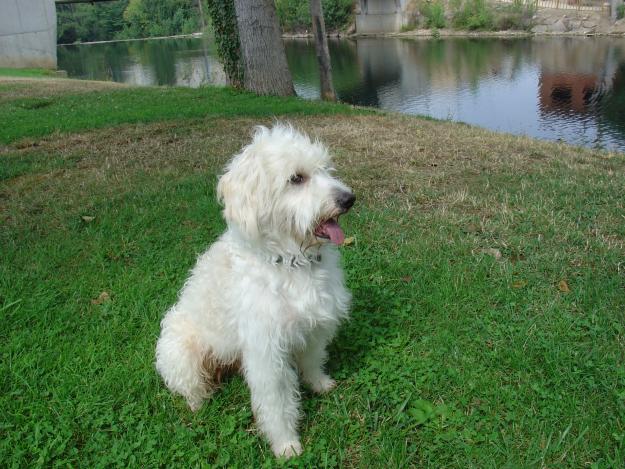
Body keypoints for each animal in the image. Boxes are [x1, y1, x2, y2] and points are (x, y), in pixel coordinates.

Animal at [155, 123, 354, 458]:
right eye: (296, 178)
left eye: (326, 169)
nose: (349, 199)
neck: (290, 262)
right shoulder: (267, 353)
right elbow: (277, 402)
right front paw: (285, 443)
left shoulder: (314, 326)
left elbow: (313, 359)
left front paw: (318, 383)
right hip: (180, 354)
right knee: (190, 387)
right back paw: (199, 402)